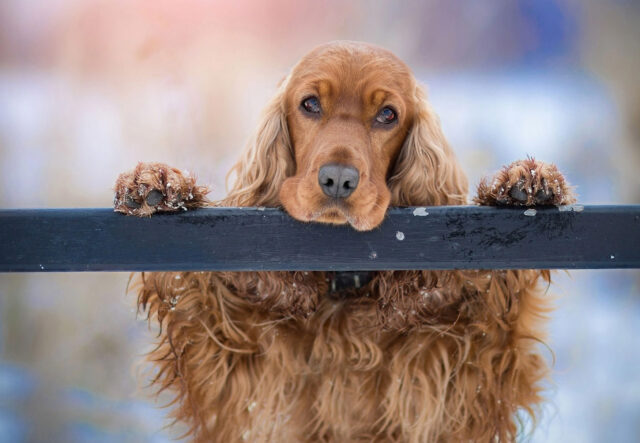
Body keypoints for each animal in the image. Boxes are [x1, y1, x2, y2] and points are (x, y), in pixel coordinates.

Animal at [114, 40, 576, 440]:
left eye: (388, 114)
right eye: (310, 104)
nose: (337, 180)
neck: (343, 286)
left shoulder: (461, 375)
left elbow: (499, 316)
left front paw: (523, 183)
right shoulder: (234, 375)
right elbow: (195, 297)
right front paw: (158, 185)